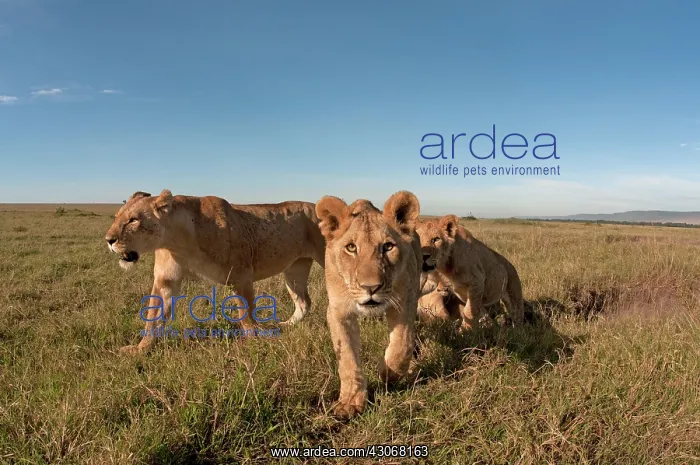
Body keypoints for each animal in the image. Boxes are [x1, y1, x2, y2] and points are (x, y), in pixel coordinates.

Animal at [105, 189, 326, 354]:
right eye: (116, 217)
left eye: (133, 220)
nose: (109, 240)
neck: (177, 241)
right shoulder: (165, 280)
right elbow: (153, 316)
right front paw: (140, 349)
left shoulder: (242, 275)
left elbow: (246, 314)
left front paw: (254, 342)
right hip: (295, 268)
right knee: (304, 302)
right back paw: (285, 326)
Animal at [315, 190, 423, 419]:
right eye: (351, 247)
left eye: (388, 247)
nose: (370, 287)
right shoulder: (338, 311)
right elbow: (347, 356)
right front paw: (350, 402)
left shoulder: (405, 302)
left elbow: (402, 345)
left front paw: (388, 373)